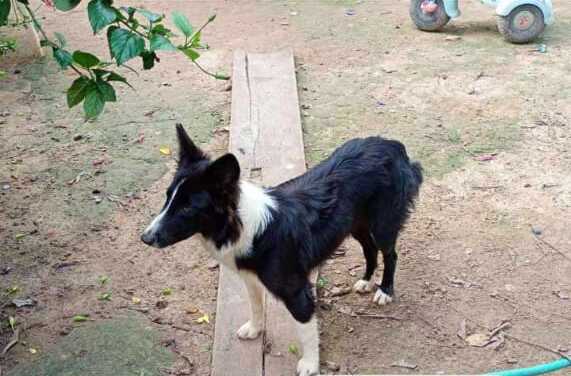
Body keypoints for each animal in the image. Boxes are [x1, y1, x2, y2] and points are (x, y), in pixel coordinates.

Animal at [141, 125, 422, 374]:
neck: (245, 226)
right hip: (355, 225)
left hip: (382, 224)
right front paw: (255, 329)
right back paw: (366, 281)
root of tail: (392, 145)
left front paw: (310, 365)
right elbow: (256, 306)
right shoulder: (250, 278)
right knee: (369, 249)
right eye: (167, 196)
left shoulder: (297, 291)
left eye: (188, 207)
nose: (145, 237)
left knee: (390, 254)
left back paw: (385, 290)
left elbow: (307, 330)